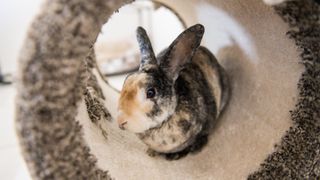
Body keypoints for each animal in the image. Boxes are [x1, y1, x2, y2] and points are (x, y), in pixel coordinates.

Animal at [117, 23, 230, 159]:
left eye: (151, 92)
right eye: (126, 80)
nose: (120, 121)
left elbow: (202, 135)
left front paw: (187, 152)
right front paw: (151, 153)